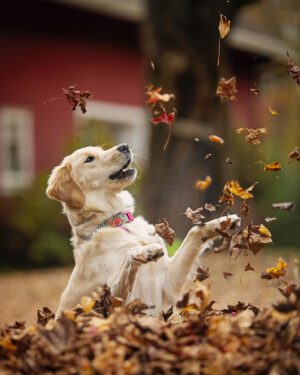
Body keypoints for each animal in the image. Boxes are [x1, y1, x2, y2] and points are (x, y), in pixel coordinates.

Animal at [46, 144, 239, 318]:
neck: (116, 222)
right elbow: (129, 256)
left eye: (101, 150)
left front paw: (223, 222)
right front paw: (146, 251)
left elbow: (194, 231)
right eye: (89, 159)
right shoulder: (112, 300)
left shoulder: (168, 281)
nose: (124, 146)